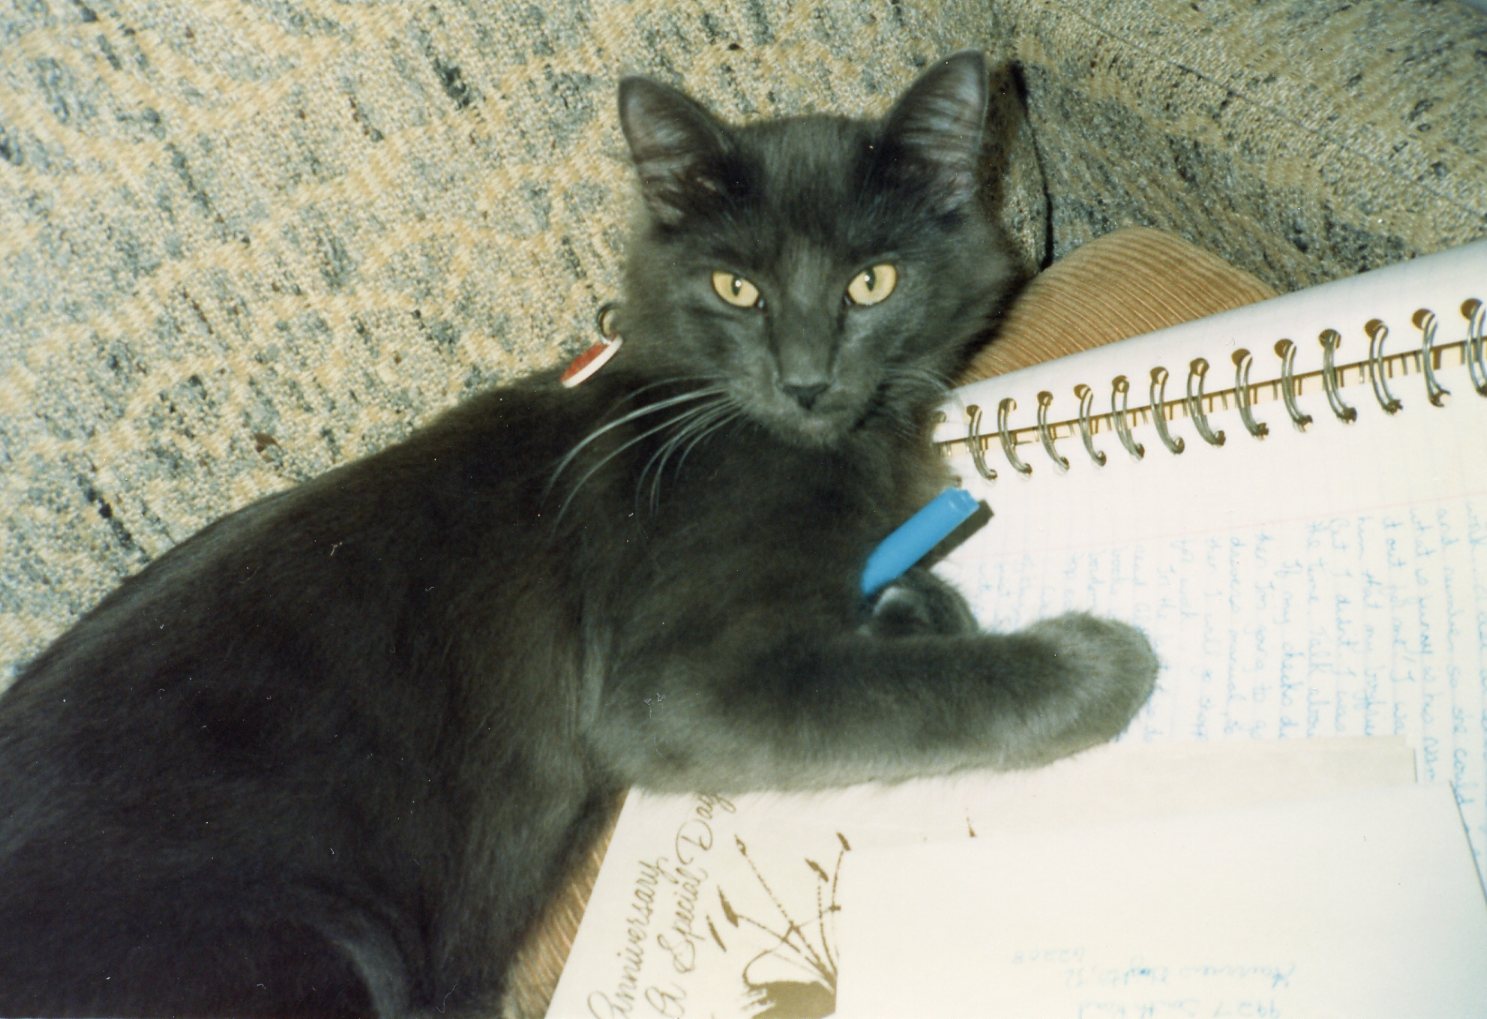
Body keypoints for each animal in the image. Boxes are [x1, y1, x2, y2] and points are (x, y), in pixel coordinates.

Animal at [0, 53, 1159, 1017]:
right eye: (736, 286)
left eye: (870, 280)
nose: (805, 379)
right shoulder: (678, 686)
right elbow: (908, 692)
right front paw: (1095, 664)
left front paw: (915, 603)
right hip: (323, 935)